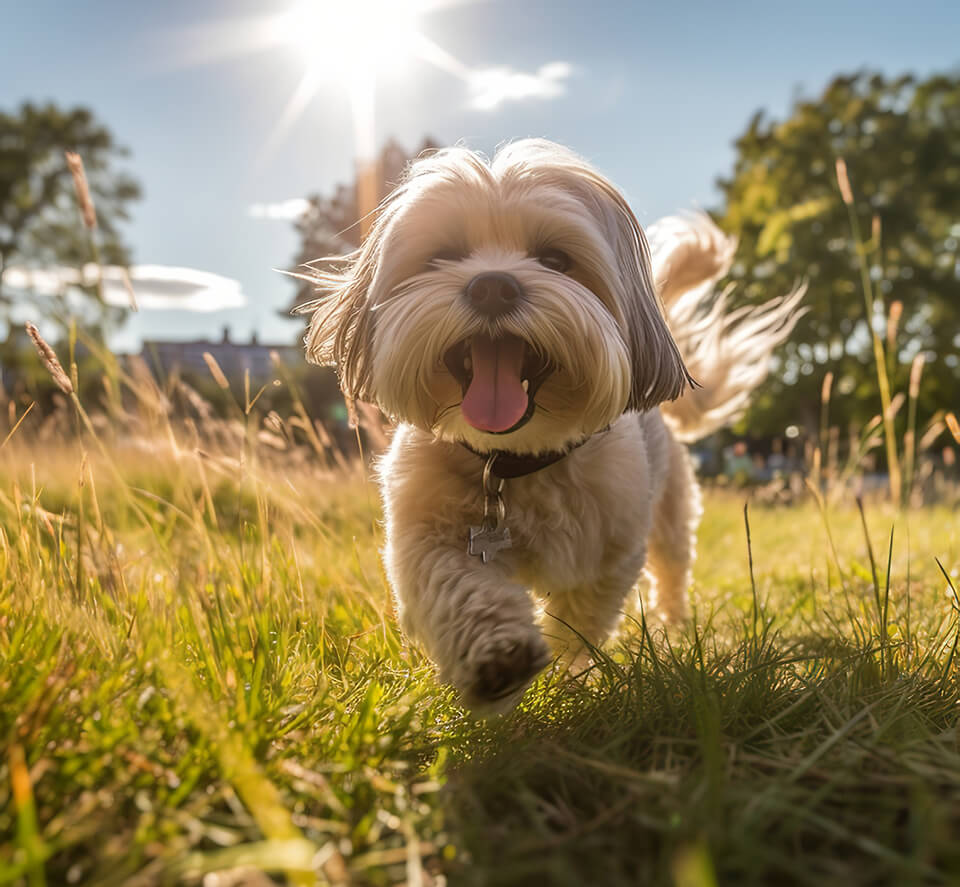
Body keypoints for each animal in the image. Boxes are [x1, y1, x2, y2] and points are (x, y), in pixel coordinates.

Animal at [302, 140, 804, 716]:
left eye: (556, 260)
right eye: (442, 255)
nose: (492, 285)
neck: (514, 461)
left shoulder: (611, 550)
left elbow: (580, 616)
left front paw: (567, 674)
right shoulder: (422, 532)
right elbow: (455, 584)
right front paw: (498, 658)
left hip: (672, 515)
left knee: (673, 567)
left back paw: (674, 627)